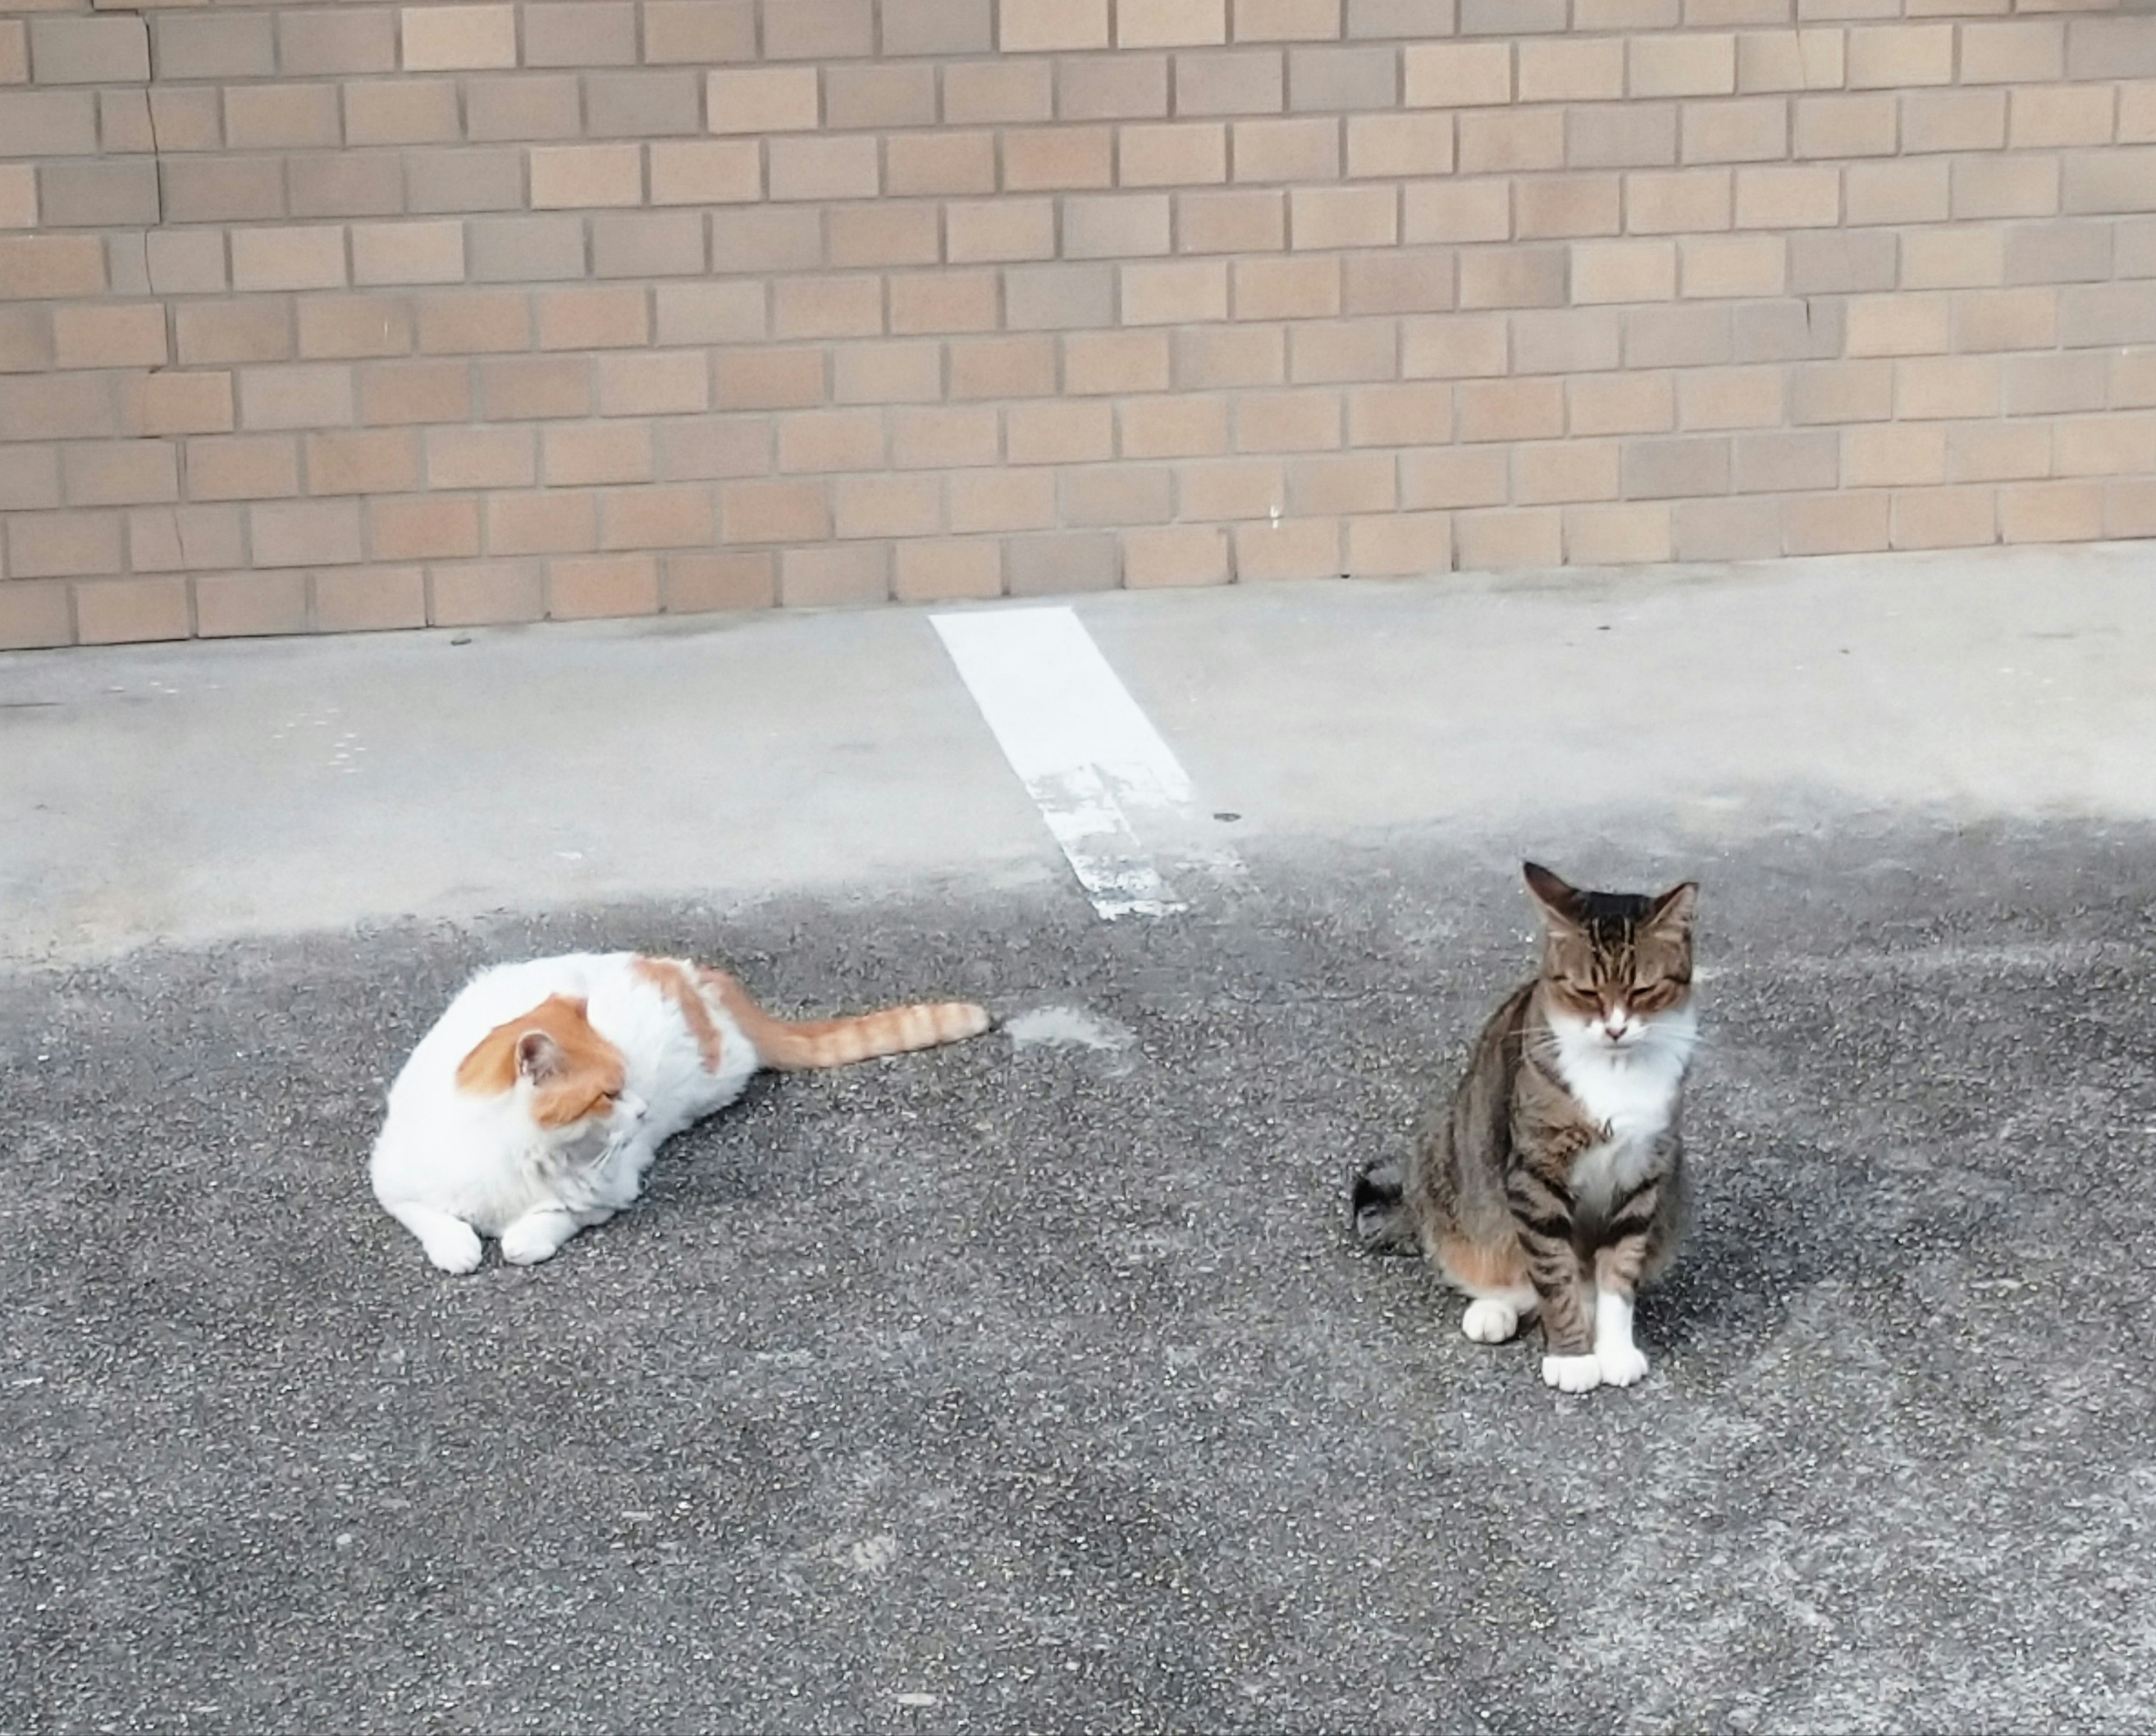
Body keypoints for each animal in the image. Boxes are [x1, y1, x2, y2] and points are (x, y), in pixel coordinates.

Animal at [366, 949, 987, 1276]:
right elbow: (428, 1216)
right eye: (608, 1094)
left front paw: (522, 1237)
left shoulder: (610, 1190)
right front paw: (459, 1246)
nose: (641, 1111)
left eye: (627, 1085)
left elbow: (550, 1221)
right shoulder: (392, 1177)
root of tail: (692, 971)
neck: (522, 1153)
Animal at [1345, 867, 1698, 1397]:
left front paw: (1613, 1349)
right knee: (1506, 1267)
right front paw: (1573, 1357)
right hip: (1448, 1164)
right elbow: (1552, 1271)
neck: (1615, 1072)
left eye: (1643, 991)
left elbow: (1620, 1274)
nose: (1615, 1030)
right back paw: (1495, 1309)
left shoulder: (1643, 1177)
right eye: (1586, 992)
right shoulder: (1535, 1177)